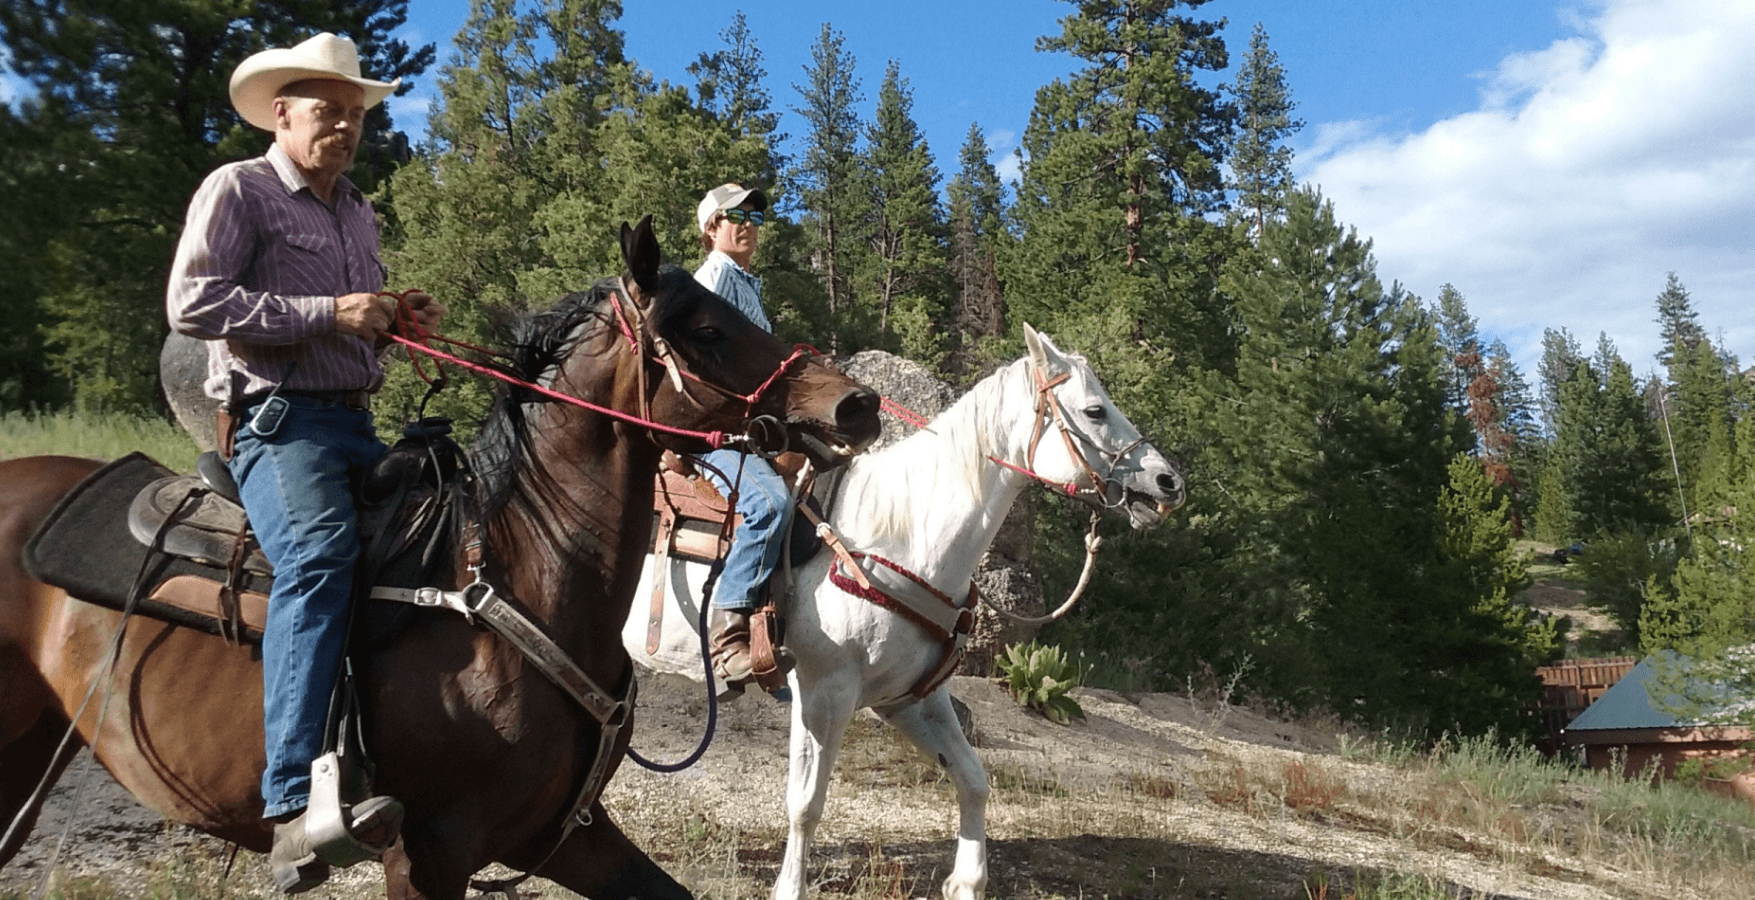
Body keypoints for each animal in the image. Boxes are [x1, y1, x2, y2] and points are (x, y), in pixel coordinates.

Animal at [624, 326, 1186, 898]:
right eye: (1095, 410)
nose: (1169, 484)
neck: (900, 537)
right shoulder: (824, 692)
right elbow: (806, 805)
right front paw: (790, 887)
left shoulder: (911, 699)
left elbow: (973, 779)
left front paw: (967, 881)